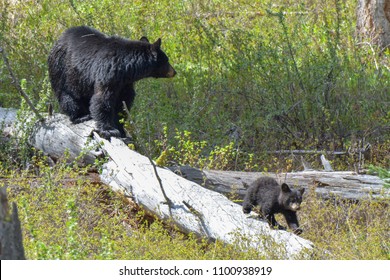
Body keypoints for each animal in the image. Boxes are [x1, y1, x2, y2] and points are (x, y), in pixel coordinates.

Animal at [47, 26, 177, 138]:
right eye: (167, 60)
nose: (174, 72)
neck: (126, 68)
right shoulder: (107, 72)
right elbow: (102, 99)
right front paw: (109, 130)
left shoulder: (125, 83)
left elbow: (123, 102)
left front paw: (121, 128)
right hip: (61, 69)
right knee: (66, 95)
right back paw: (81, 116)